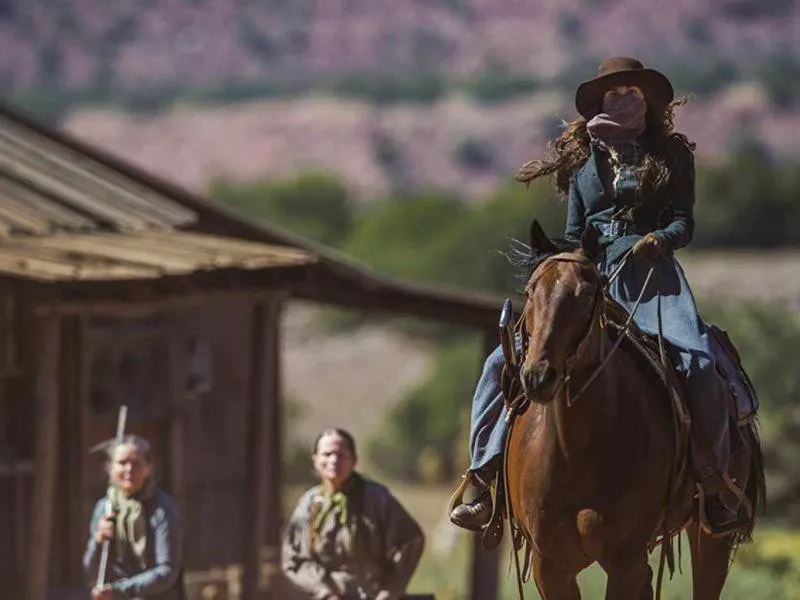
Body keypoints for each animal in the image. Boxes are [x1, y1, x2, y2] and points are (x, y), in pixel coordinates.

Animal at [510, 224, 764, 600]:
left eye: (587, 294)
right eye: (530, 292)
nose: (538, 376)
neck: (576, 452)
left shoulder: (624, 563)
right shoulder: (550, 566)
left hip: (711, 536)